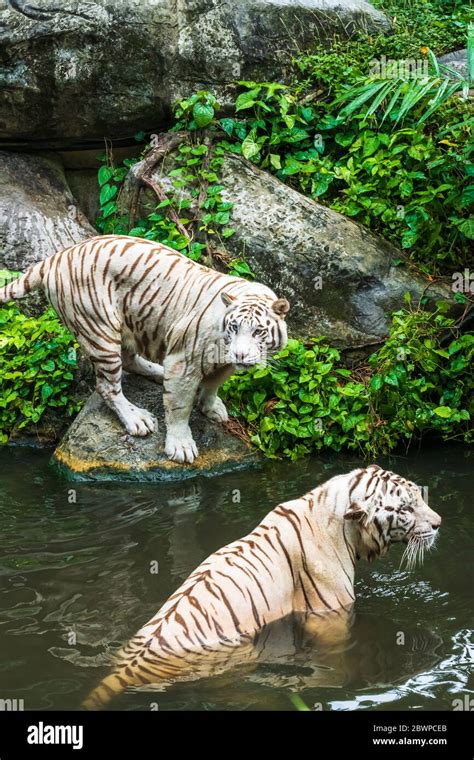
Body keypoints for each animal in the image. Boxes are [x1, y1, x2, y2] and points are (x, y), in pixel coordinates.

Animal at [0, 235, 288, 464]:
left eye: (258, 331)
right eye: (234, 327)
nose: (241, 354)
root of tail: (57, 256)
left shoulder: (224, 363)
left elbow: (213, 384)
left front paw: (212, 408)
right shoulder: (184, 361)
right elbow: (179, 407)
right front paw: (180, 446)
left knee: (129, 360)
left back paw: (158, 373)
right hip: (100, 330)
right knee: (108, 385)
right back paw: (137, 419)